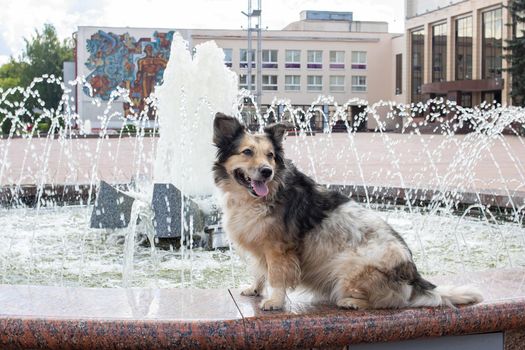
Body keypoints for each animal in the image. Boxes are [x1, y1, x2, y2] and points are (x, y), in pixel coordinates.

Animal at [211, 113, 482, 312]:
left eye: (270, 155)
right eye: (247, 152)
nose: (267, 171)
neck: (259, 196)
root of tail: (414, 277)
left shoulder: (279, 249)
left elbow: (276, 277)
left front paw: (274, 302)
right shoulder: (259, 244)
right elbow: (259, 270)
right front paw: (254, 289)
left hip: (348, 264)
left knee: (391, 302)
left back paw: (350, 302)